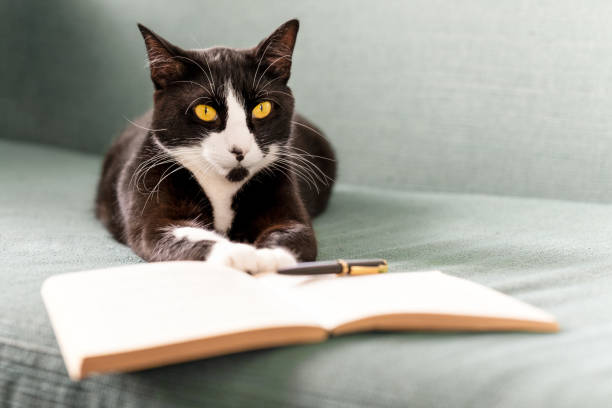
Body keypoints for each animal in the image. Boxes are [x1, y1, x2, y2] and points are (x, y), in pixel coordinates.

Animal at [94, 19, 340, 274]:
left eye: (262, 108)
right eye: (205, 111)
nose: (239, 149)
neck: (223, 185)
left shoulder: (282, 188)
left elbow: (293, 232)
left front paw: (269, 257)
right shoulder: (152, 191)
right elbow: (176, 233)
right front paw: (238, 254)